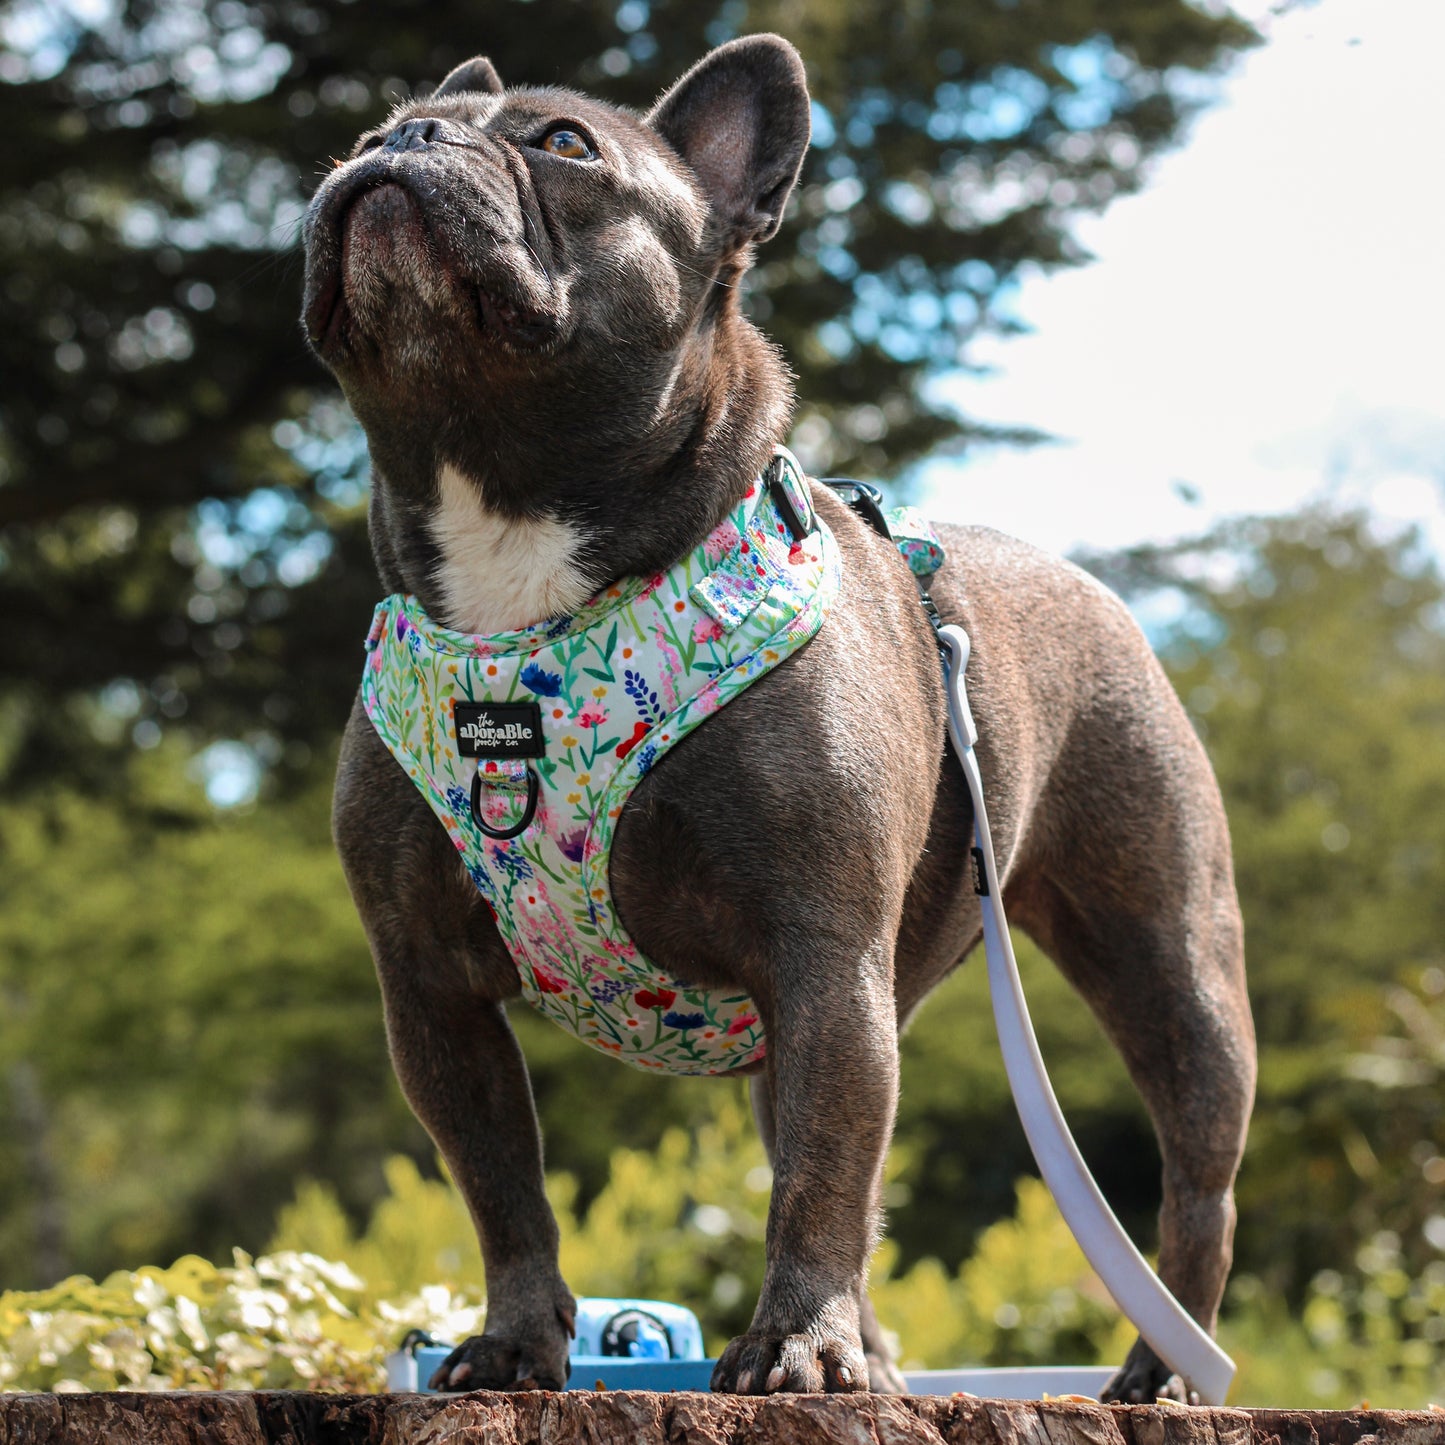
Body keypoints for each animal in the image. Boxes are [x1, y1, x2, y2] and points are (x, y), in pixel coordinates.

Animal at [302, 31, 1254, 1398]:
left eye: (561, 145)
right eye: (379, 128)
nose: (401, 145)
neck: (522, 582)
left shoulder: (820, 954)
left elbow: (816, 1173)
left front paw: (798, 1341)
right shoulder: (430, 988)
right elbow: (502, 1185)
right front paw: (517, 1343)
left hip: (1167, 956)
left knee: (1193, 1177)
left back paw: (1162, 1366)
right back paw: (884, 1358)